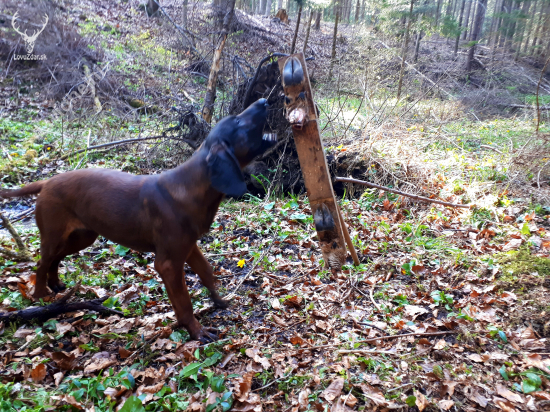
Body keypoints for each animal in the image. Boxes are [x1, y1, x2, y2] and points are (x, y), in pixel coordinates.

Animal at [0, 98, 276, 342]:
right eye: (238, 121)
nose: (264, 100)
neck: (191, 187)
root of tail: (47, 182)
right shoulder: (168, 263)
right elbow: (184, 303)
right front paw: (197, 332)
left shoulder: (189, 248)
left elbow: (208, 274)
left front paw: (219, 301)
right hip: (54, 234)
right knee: (41, 262)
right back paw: (40, 297)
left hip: (82, 236)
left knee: (55, 259)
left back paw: (56, 285)